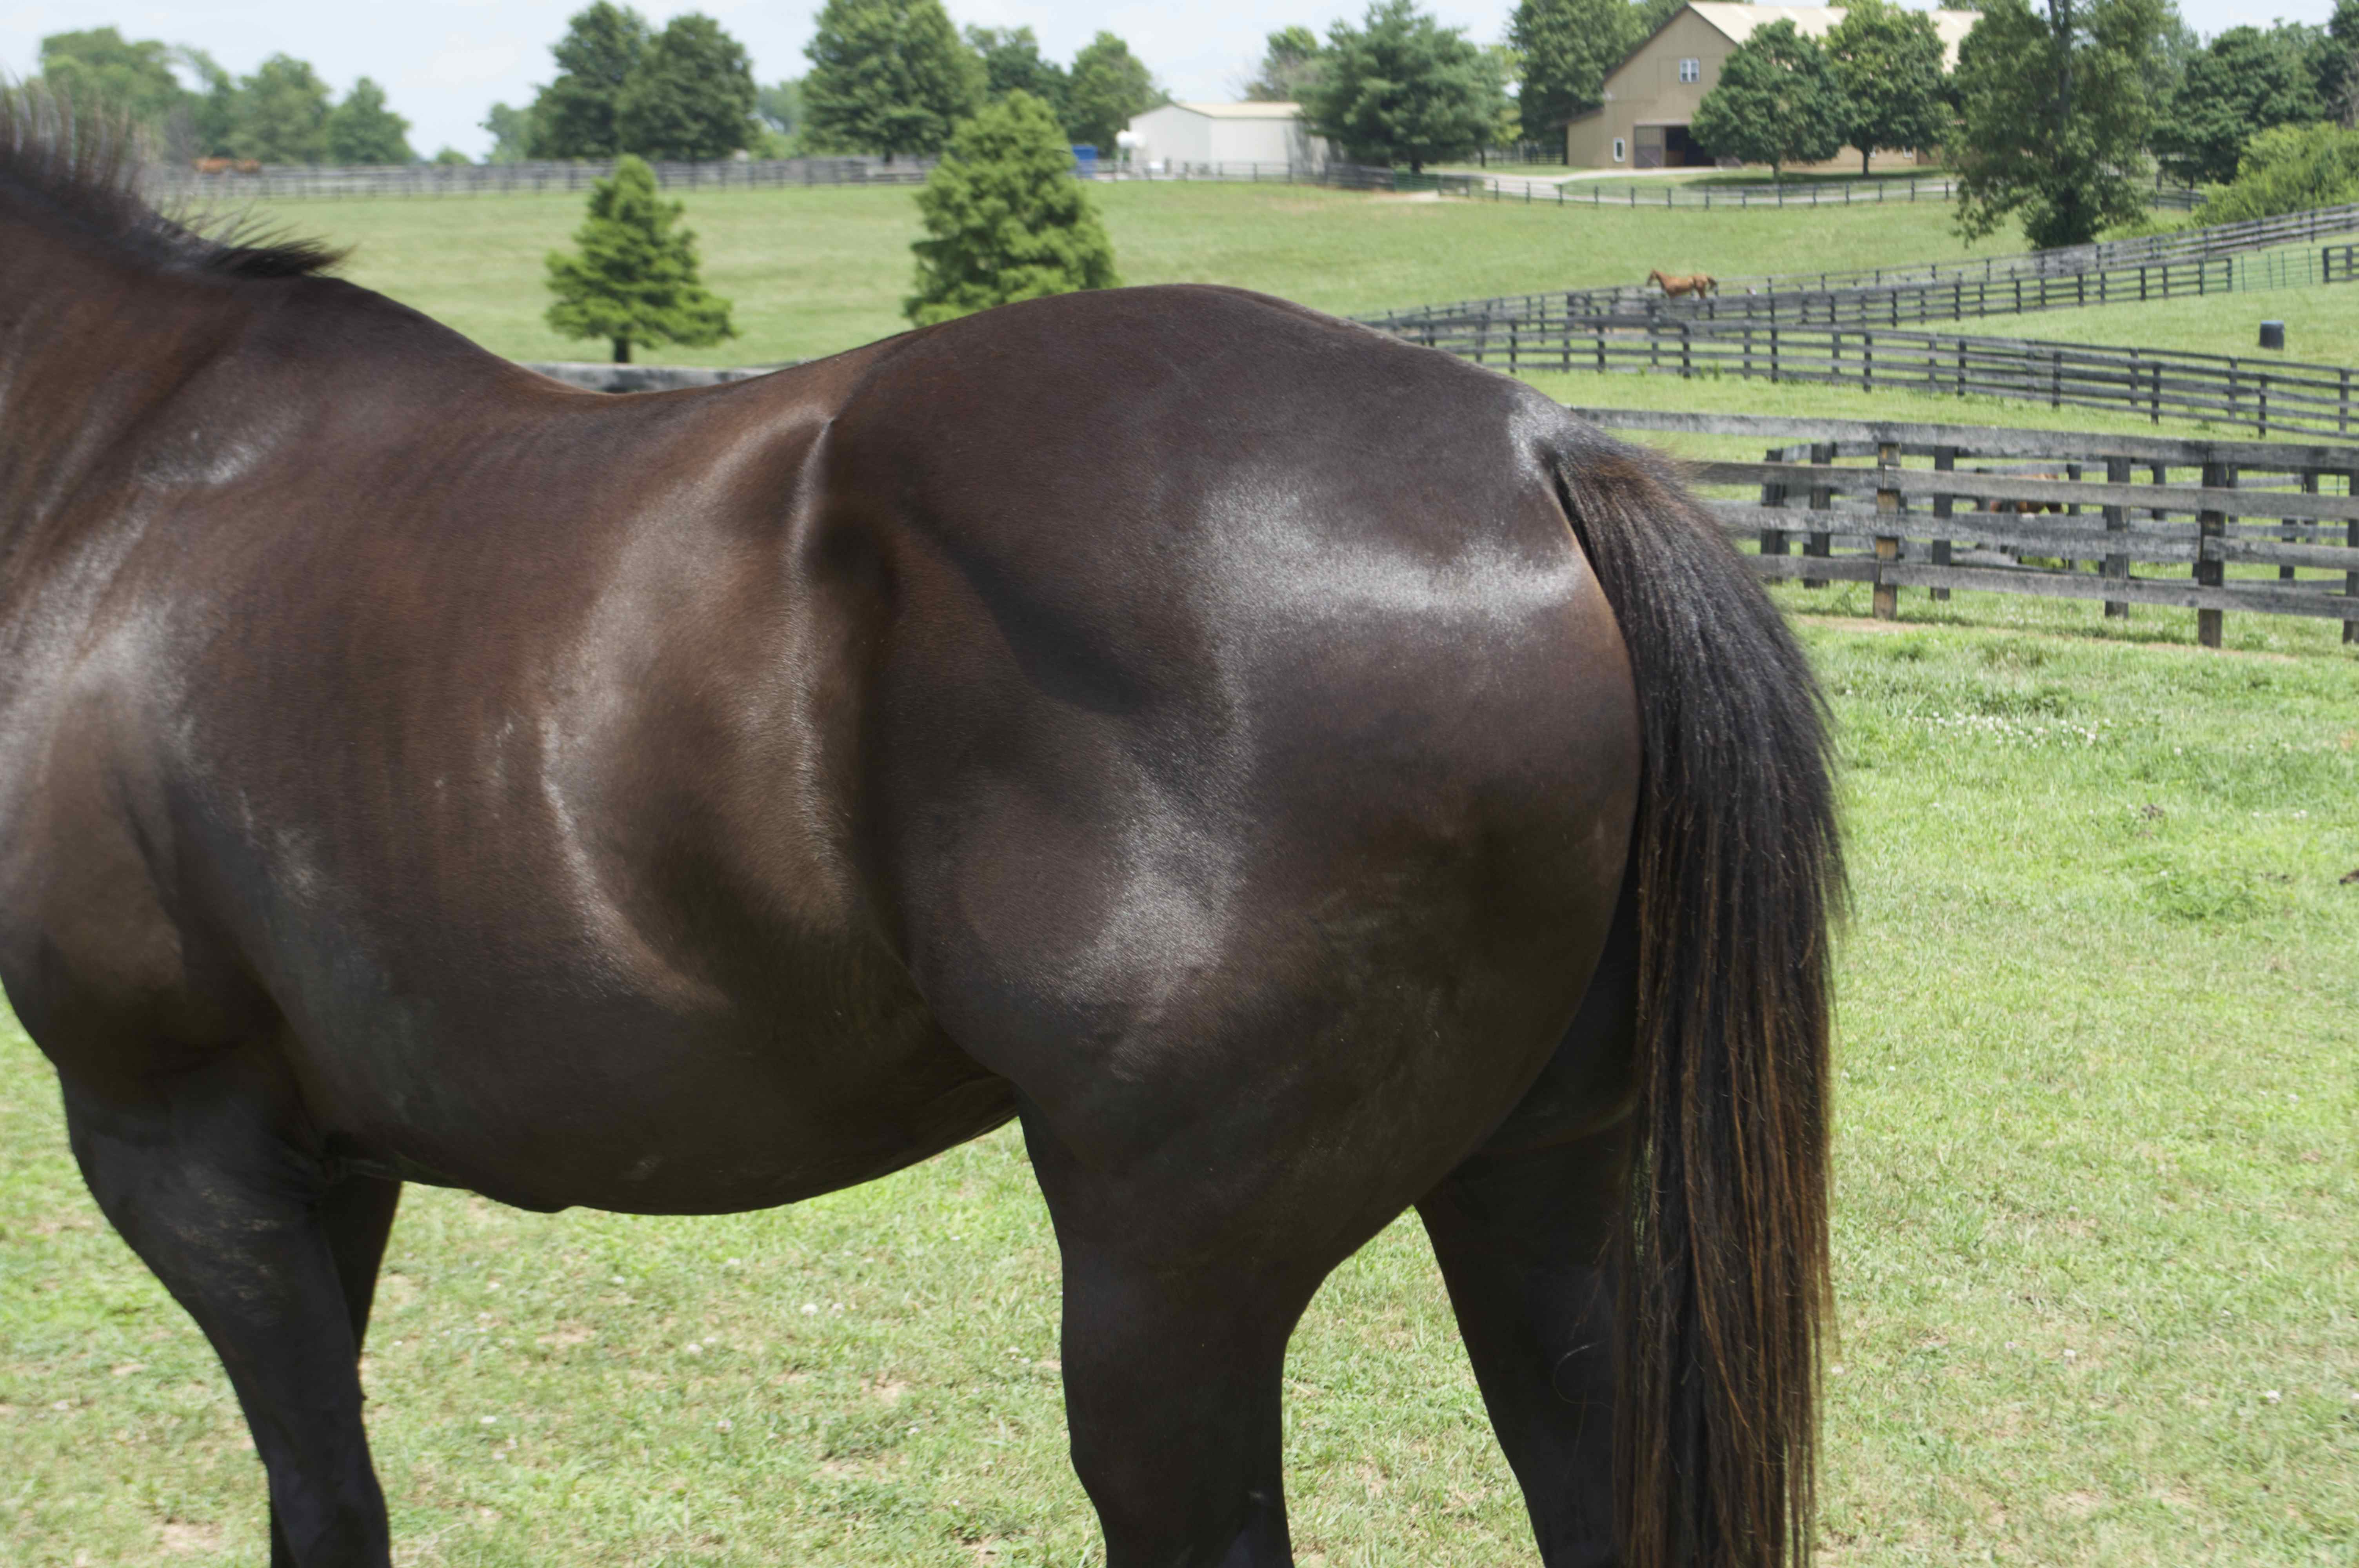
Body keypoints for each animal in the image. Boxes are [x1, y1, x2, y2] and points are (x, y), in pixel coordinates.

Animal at [0, 93, 1841, 1568]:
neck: (117, 477)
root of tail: (1537, 454)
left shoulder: (177, 1140)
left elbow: (324, 1499)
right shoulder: (327, 1157)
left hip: (1169, 1284)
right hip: (1544, 1184)